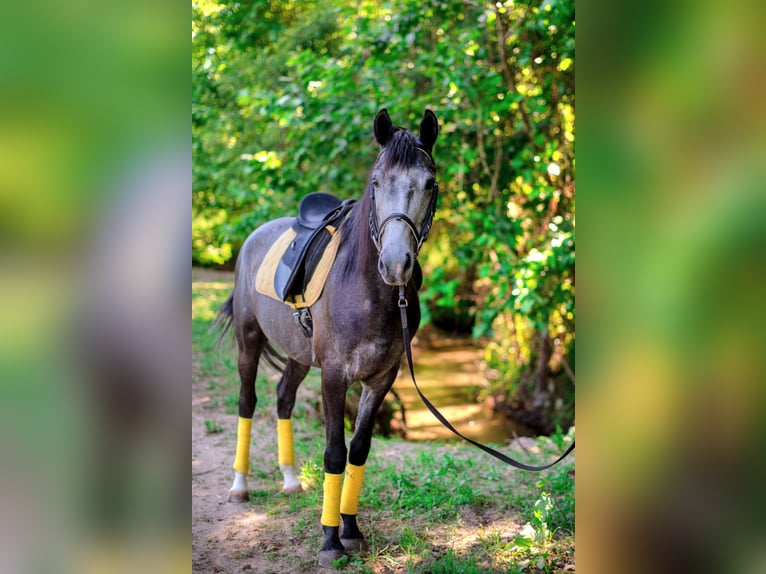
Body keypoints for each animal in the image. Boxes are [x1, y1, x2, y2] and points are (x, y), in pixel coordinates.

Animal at [219, 108, 440, 568]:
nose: (396, 264)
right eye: (376, 182)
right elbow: (335, 452)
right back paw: (239, 486)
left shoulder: (382, 378)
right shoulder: (335, 376)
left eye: (429, 183)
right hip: (249, 343)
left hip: (299, 357)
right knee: (248, 402)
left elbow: (359, 450)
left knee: (284, 398)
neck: (369, 290)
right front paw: (330, 540)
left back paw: (289, 480)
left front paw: (352, 530)